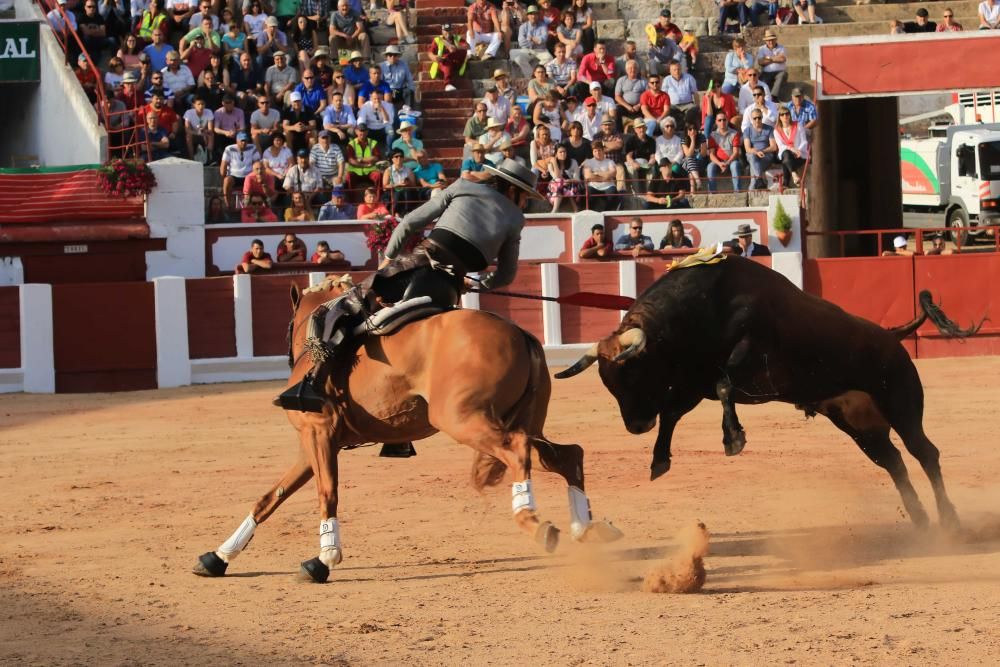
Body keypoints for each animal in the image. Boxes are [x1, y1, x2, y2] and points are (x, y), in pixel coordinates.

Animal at [191, 274, 620, 580]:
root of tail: (522, 334)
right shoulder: (312, 443)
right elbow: (270, 497)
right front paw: (218, 557)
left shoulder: (319, 434)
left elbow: (326, 493)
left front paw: (324, 558)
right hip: (524, 421)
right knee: (566, 455)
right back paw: (585, 527)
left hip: (463, 420)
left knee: (518, 450)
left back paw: (535, 522)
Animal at [560, 258, 980, 532]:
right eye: (608, 383)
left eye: (633, 372)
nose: (635, 426)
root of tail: (891, 336)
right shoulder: (692, 383)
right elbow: (675, 412)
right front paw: (659, 459)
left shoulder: (746, 357)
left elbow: (723, 385)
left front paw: (733, 439)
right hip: (861, 426)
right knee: (893, 462)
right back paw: (922, 520)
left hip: (902, 405)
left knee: (925, 453)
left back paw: (949, 520)